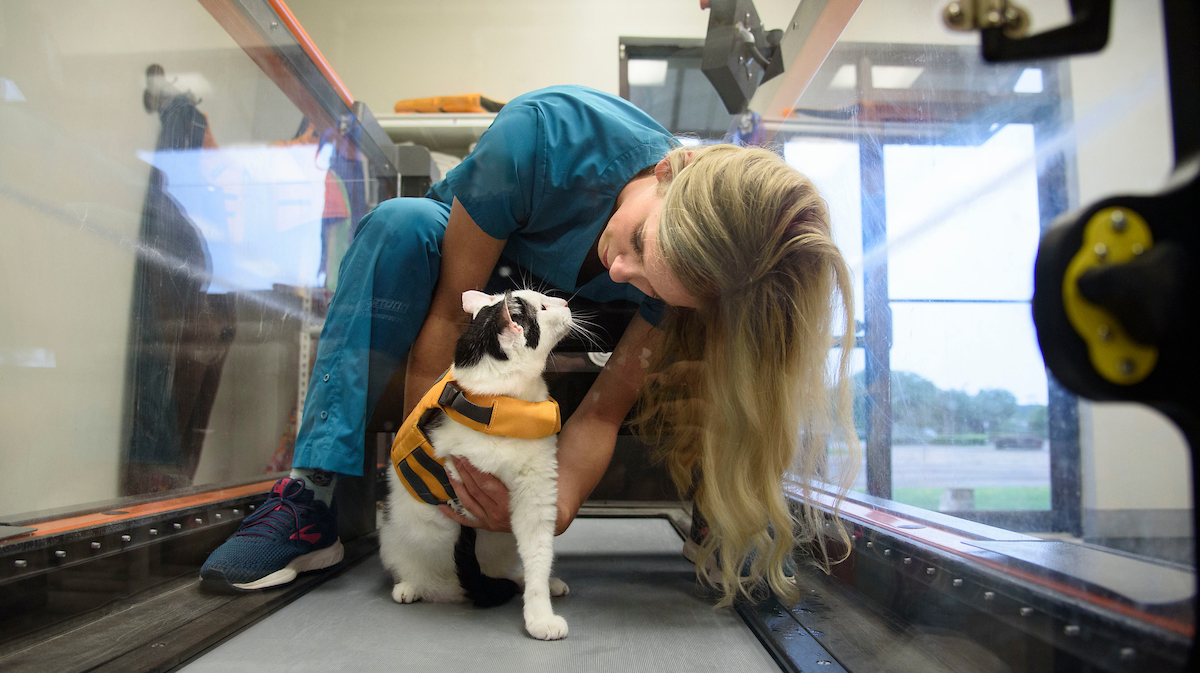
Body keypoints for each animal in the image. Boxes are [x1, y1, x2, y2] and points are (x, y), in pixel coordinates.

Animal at [379, 285, 576, 638]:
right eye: (541, 307)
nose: (565, 302)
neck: (496, 401)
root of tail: (451, 590)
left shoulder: (536, 497)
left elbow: (538, 555)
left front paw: (539, 607)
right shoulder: (510, 486)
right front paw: (541, 617)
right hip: (392, 539)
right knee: (415, 573)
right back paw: (409, 586)